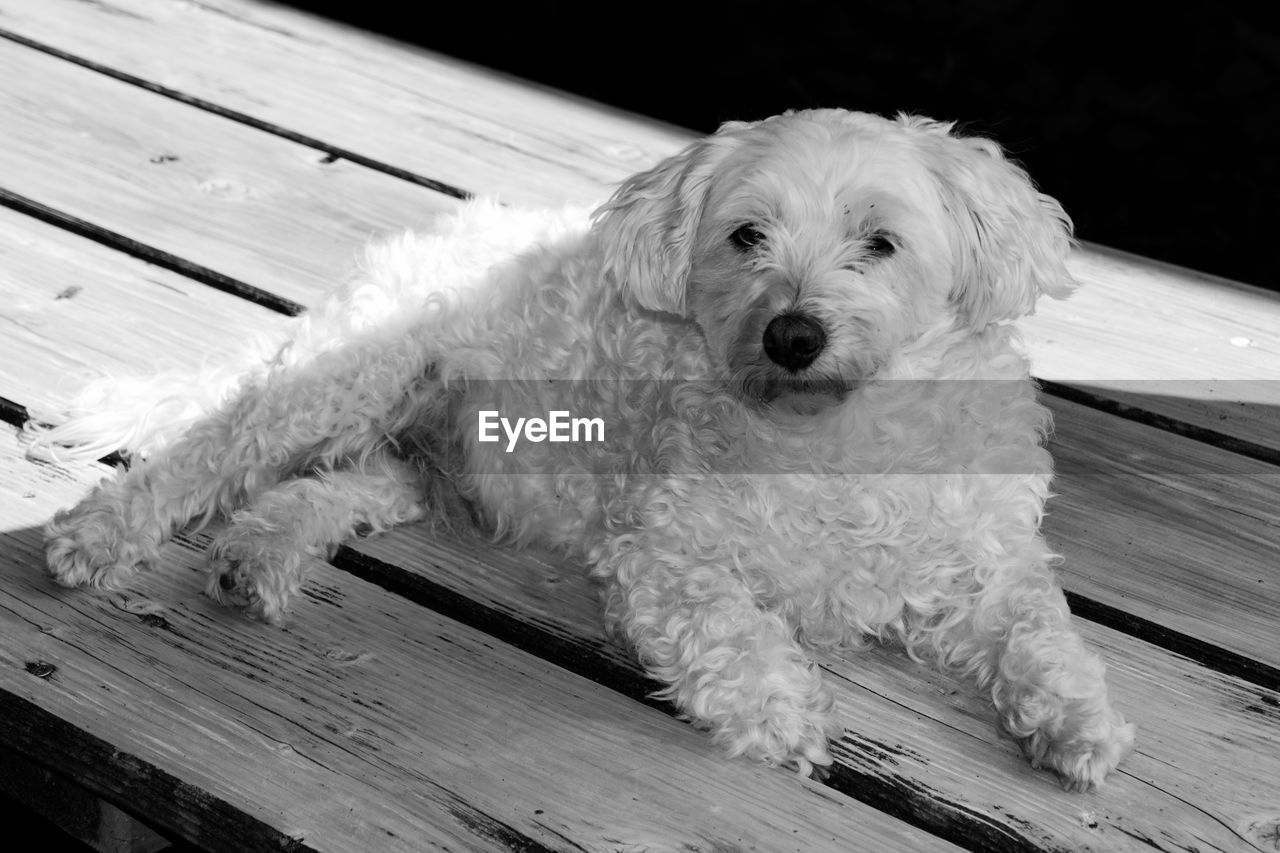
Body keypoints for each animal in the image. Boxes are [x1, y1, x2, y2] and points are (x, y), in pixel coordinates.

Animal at [42, 109, 1141, 788]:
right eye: (745, 236)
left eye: (880, 241)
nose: (791, 334)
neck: (835, 435)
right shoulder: (662, 553)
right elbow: (730, 632)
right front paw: (778, 713)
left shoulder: (989, 561)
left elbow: (1040, 630)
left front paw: (1077, 720)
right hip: (348, 373)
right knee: (212, 445)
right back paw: (97, 536)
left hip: (421, 453)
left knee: (338, 485)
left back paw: (256, 557)